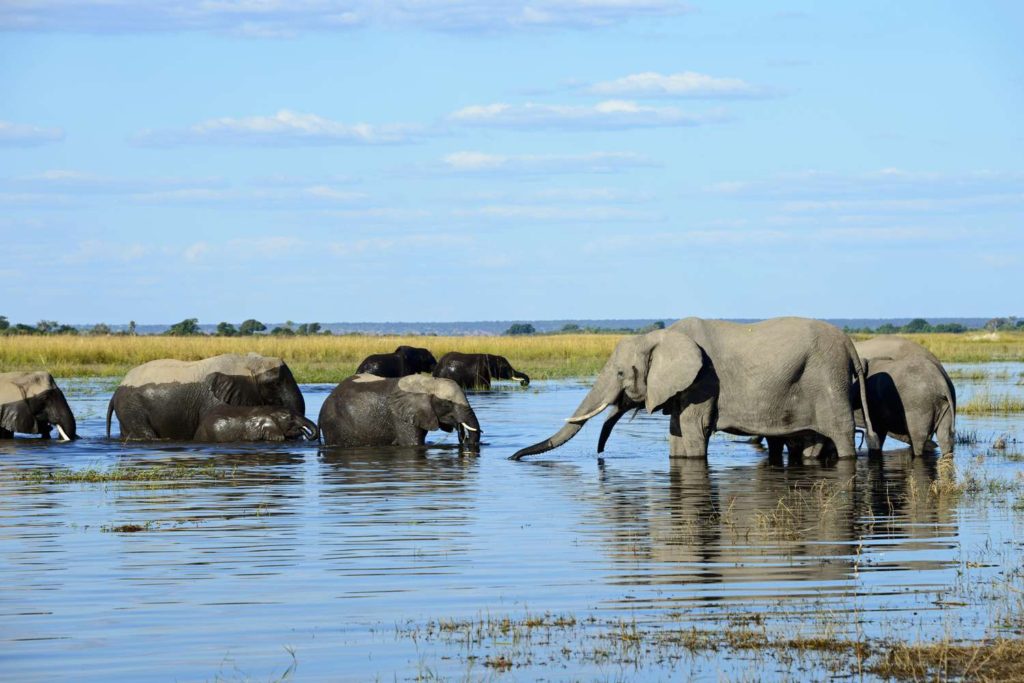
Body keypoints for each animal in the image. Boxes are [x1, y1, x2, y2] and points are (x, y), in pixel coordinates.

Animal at [319, 370, 479, 450]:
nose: (464, 438)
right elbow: (413, 444)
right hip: (334, 425)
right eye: (448, 403)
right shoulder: (400, 417)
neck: (428, 383)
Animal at [512, 317, 880, 462]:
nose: (512, 457)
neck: (660, 336)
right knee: (811, 441)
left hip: (828, 375)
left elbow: (693, 431)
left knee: (841, 433)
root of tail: (850, 345)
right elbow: (677, 435)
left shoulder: (703, 381)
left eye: (619, 373)